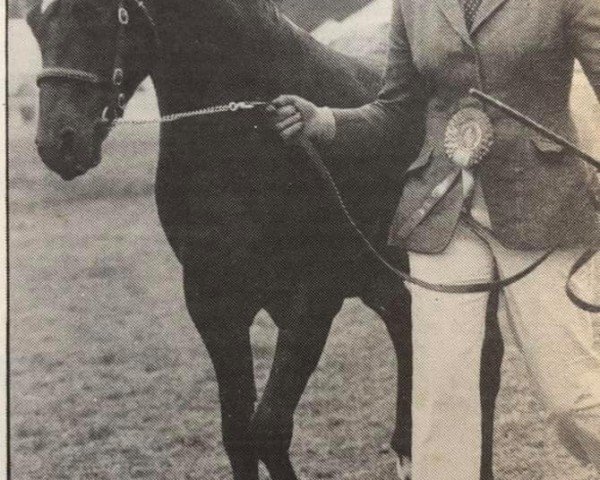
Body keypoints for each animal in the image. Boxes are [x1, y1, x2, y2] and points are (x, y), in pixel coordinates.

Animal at [25, 1, 504, 478]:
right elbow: (237, 433)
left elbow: (269, 427)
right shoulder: (213, 302)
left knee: (486, 361)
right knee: (408, 334)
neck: (245, 139)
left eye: (100, 14)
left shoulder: (312, 299)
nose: (59, 143)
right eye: (33, 20)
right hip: (386, 280)